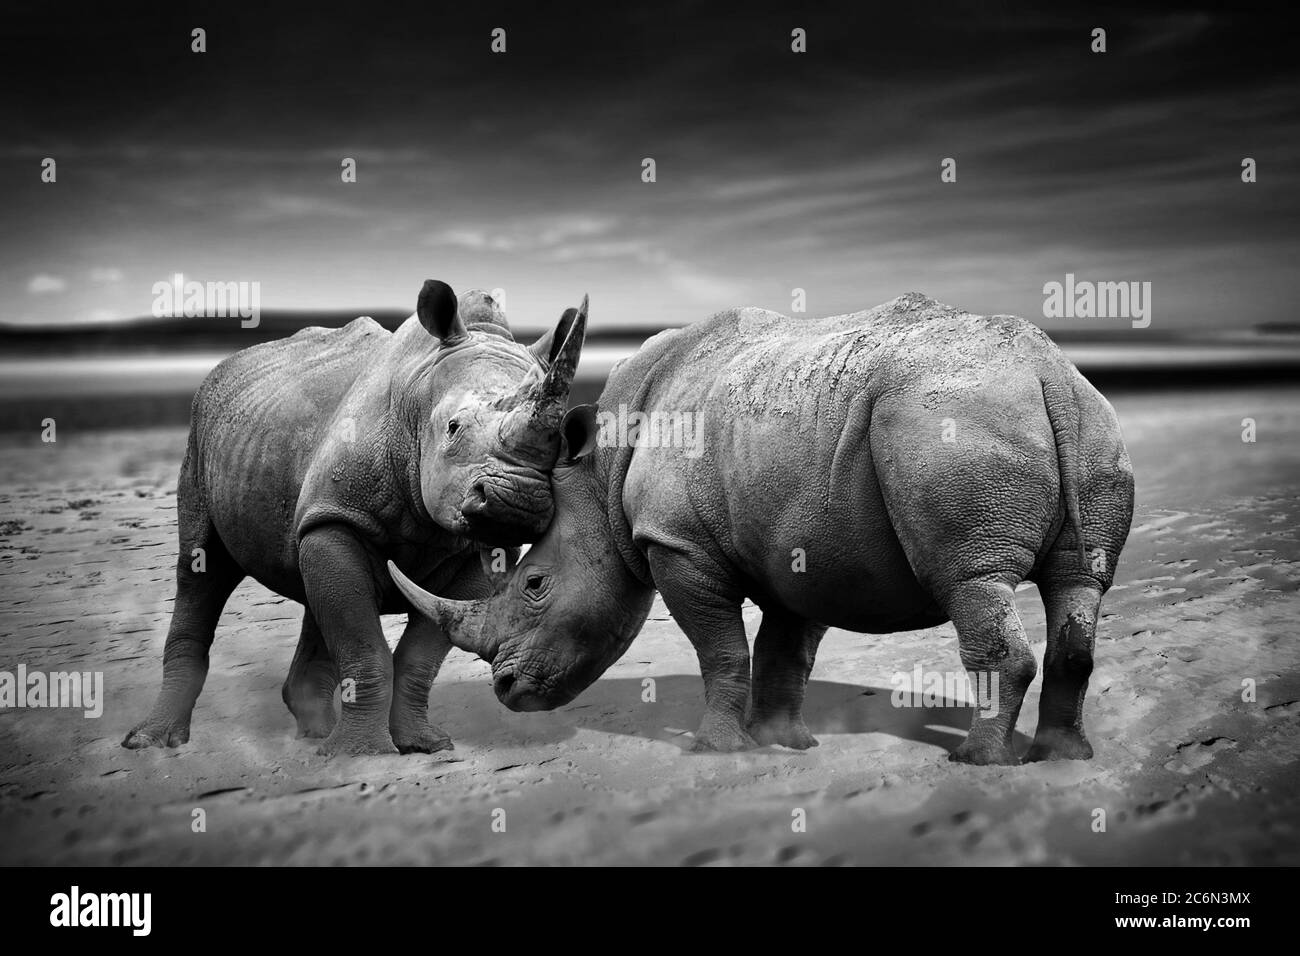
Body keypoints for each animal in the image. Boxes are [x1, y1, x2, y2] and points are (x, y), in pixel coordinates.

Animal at [124, 280, 587, 755]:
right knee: (201, 568)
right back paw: (152, 742)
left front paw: (422, 746)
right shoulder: (338, 516)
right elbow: (364, 647)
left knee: (311, 581)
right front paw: (361, 754)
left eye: (565, 442)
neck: (416, 402)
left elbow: (419, 653)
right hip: (202, 435)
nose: (519, 500)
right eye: (453, 428)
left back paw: (315, 737)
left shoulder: (480, 550)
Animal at [391, 293, 1135, 764]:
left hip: (949, 425)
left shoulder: (677, 543)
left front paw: (714, 749)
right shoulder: (802, 542)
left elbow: (722, 651)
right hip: (1086, 422)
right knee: (1079, 583)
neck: (595, 480)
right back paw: (1062, 758)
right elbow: (784, 649)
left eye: (535, 585)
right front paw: (782, 743)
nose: (505, 692)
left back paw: (979, 763)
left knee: (972, 579)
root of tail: (1046, 371)